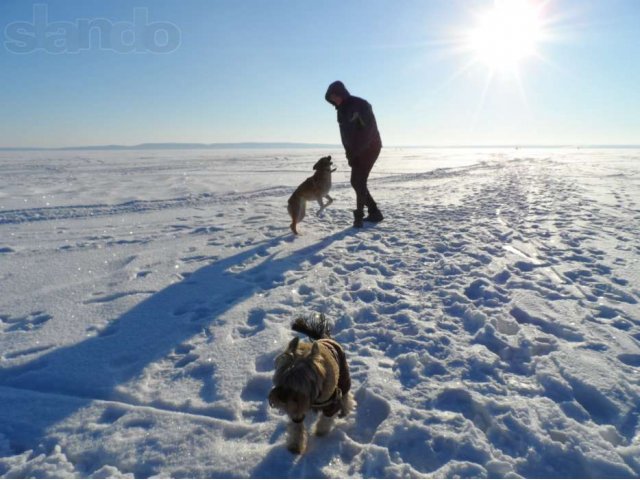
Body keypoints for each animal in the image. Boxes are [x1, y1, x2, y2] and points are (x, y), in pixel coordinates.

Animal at [266, 316, 352, 454]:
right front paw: (295, 446)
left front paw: (320, 432)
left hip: (344, 374)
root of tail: (325, 337)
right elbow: (297, 427)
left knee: (346, 394)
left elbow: (326, 419)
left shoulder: (331, 402)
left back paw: (345, 408)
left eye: (298, 383)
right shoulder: (296, 408)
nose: (281, 399)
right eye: (280, 380)